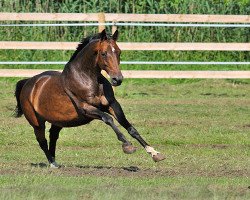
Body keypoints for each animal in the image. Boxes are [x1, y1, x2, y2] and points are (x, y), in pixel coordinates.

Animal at [14, 29, 165, 167]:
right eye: (103, 53)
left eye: (118, 52)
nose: (117, 79)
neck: (87, 79)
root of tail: (28, 83)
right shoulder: (86, 109)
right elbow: (108, 119)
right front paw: (127, 145)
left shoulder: (112, 105)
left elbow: (130, 127)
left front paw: (155, 153)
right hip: (36, 122)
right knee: (42, 141)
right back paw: (52, 163)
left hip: (58, 121)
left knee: (53, 137)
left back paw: (55, 162)